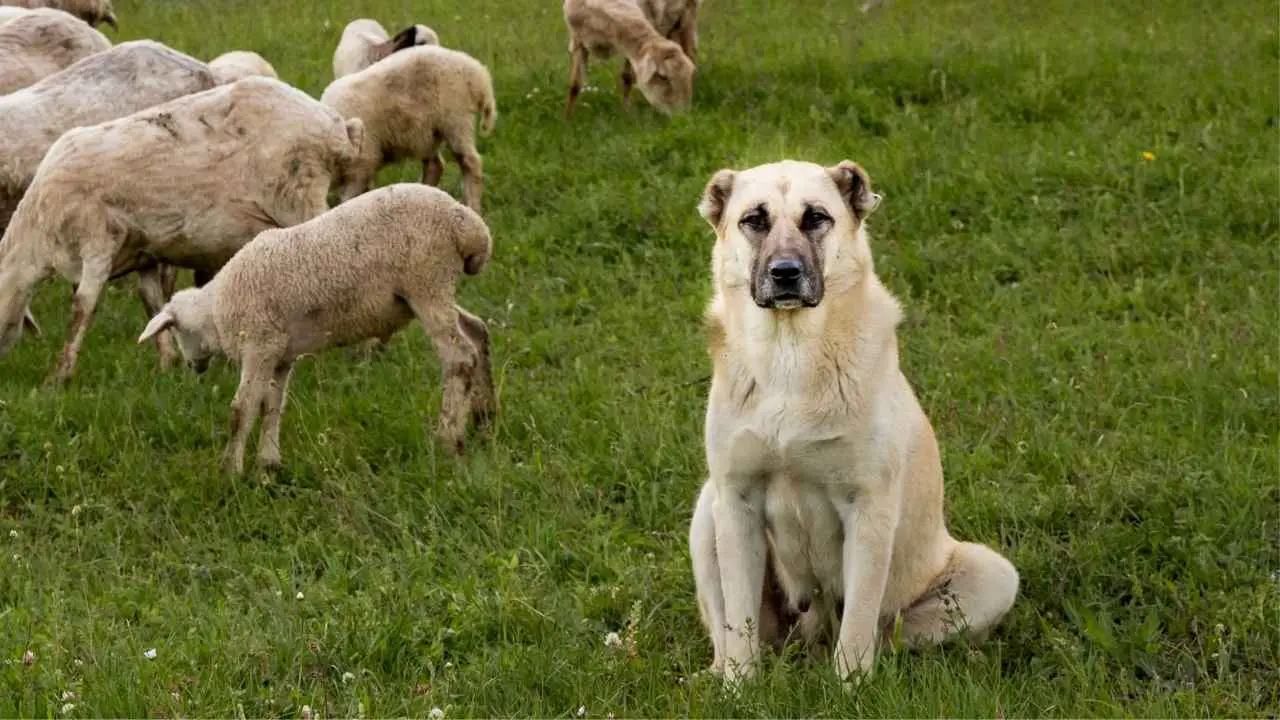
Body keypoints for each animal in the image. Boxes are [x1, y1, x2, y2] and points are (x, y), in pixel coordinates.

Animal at [1, 75, 371, 384]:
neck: (35, 235)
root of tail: (337, 127)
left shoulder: (99, 239)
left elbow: (83, 306)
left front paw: (58, 377)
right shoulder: (144, 251)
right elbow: (152, 301)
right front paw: (166, 364)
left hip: (300, 193)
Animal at [137, 181, 496, 474]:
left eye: (179, 331)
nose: (193, 367)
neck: (216, 308)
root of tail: (470, 226)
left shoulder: (259, 344)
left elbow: (243, 409)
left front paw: (230, 472)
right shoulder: (280, 355)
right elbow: (271, 405)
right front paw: (268, 466)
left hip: (426, 280)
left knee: (459, 357)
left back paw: (448, 439)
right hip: (425, 293)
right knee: (477, 332)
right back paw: (484, 420)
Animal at [320, 44, 494, 211]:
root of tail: (476, 71)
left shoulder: (362, 163)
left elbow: (350, 196)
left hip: (456, 120)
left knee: (470, 163)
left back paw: (473, 206)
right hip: (428, 132)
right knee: (435, 165)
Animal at [565, 0, 696, 117]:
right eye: (663, 77)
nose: (682, 115)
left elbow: (627, 77)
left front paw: (626, 112)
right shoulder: (578, 40)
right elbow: (575, 86)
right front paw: (568, 121)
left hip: (686, 15)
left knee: (689, 49)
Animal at [691, 158, 1018, 681]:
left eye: (816, 218)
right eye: (754, 220)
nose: (786, 274)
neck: (790, 354)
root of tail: (810, 638)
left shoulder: (869, 506)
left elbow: (860, 618)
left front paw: (852, 687)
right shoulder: (736, 500)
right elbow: (739, 622)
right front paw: (740, 689)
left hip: (991, 577)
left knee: (884, 633)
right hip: (708, 510)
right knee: (729, 636)